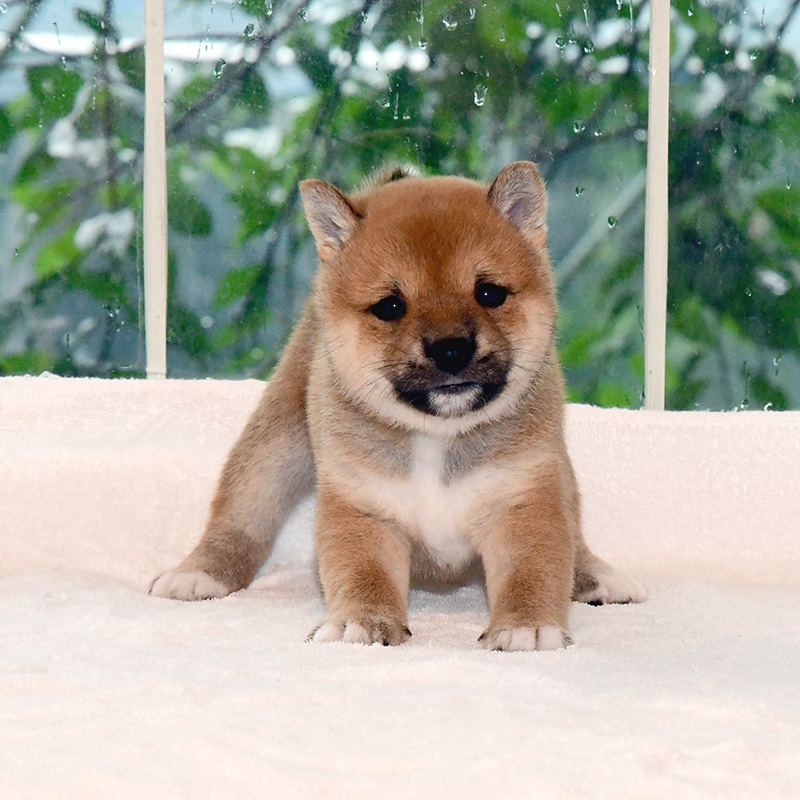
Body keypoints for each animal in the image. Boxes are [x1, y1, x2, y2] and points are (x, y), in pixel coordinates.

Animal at [152, 162, 648, 648]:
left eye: (489, 293)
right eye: (390, 306)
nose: (451, 350)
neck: (437, 436)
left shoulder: (523, 502)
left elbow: (534, 571)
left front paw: (526, 625)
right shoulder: (364, 510)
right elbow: (364, 575)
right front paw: (362, 622)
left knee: (574, 534)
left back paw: (594, 576)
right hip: (276, 444)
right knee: (241, 516)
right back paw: (200, 572)